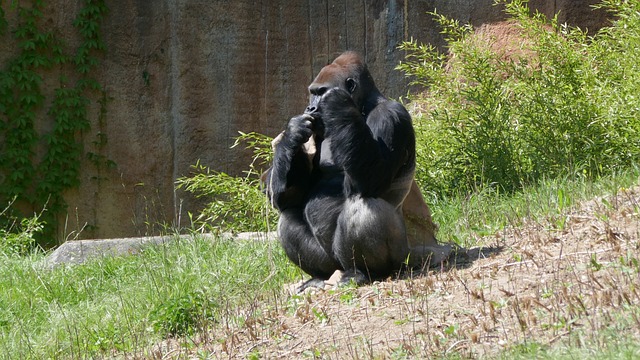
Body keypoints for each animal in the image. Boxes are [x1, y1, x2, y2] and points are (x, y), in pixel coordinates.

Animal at [264, 52, 450, 292]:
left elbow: (371, 181)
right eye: (312, 93)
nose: (310, 109)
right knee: (288, 215)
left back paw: (364, 272)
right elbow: (289, 196)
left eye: (321, 92)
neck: (365, 106)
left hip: (405, 258)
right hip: (334, 264)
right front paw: (292, 134)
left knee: (362, 205)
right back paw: (319, 276)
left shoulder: (390, 115)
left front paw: (337, 103)